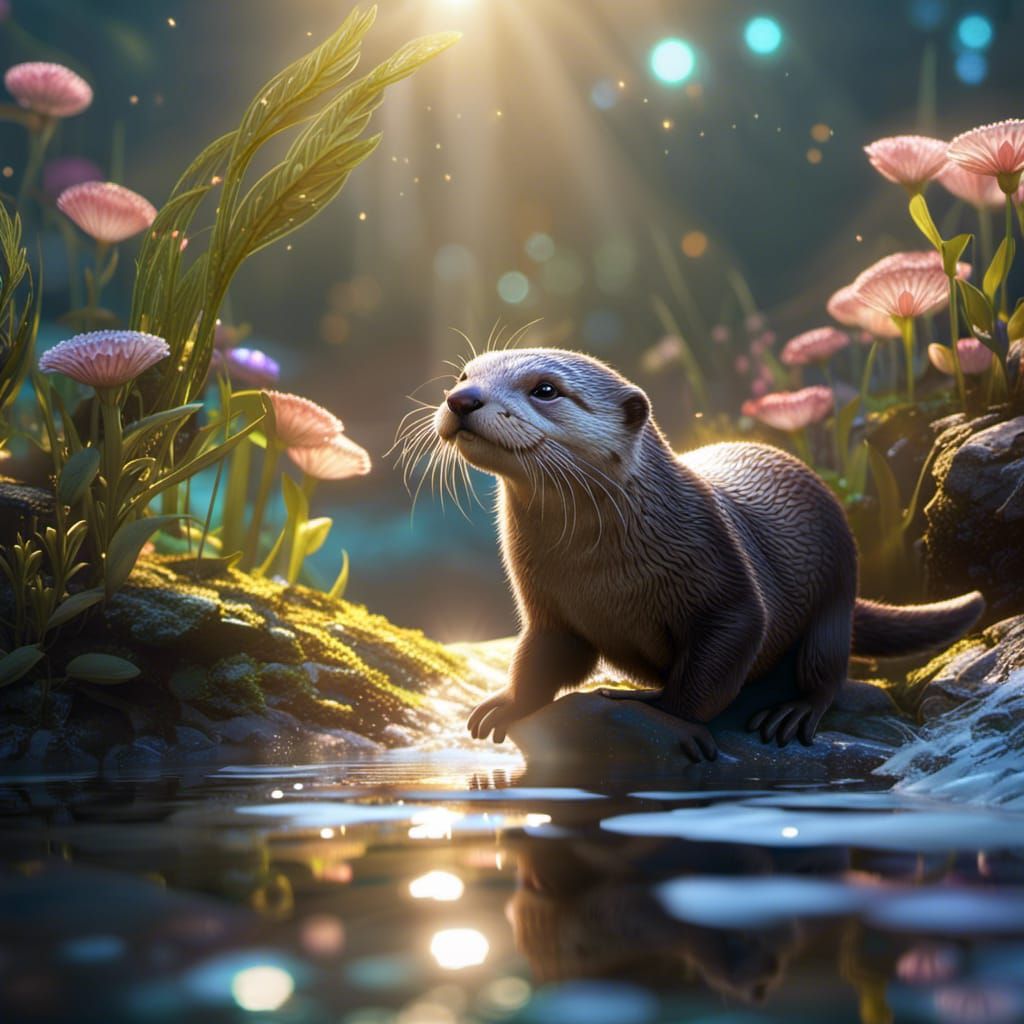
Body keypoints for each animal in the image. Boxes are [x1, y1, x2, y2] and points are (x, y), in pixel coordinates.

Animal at [422, 347, 984, 762]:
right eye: (465, 374)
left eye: (544, 389)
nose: (461, 399)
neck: (597, 569)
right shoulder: (548, 609)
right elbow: (542, 660)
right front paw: (506, 704)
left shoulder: (724, 582)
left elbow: (719, 660)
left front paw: (659, 712)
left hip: (837, 590)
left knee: (828, 666)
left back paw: (795, 712)